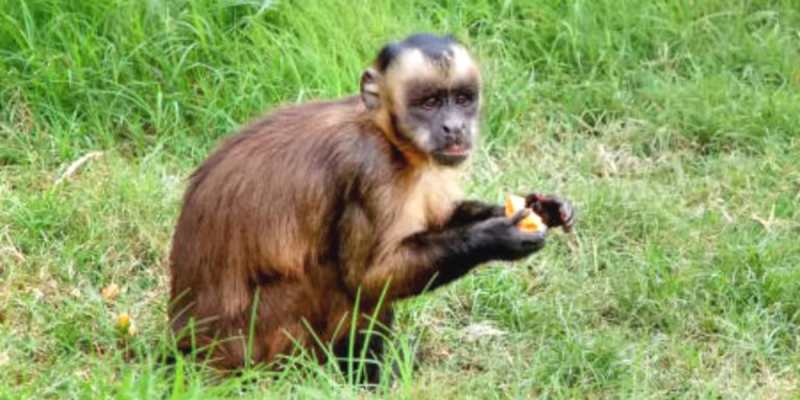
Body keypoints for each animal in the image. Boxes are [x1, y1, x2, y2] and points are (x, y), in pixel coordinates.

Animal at [167, 32, 576, 382]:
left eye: (462, 99)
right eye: (430, 102)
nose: (454, 128)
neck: (388, 136)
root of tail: (184, 345)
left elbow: (440, 218)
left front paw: (543, 207)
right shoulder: (371, 167)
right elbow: (369, 278)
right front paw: (497, 237)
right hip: (255, 342)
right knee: (338, 278)